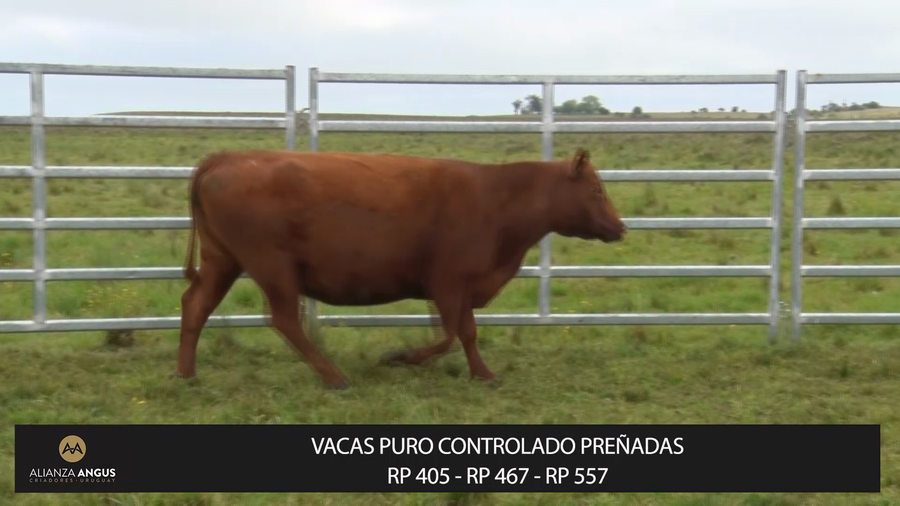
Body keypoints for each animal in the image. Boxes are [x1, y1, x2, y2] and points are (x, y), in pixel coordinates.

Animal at [176, 148, 626, 389]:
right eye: (596, 189)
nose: (620, 227)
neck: (496, 198)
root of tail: (226, 158)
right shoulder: (449, 282)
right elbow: (454, 334)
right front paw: (400, 357)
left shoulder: (457, 288)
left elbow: (465, 333)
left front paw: (482, 373)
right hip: (273, 267)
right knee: (285, 320)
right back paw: (335, 376)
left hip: (222, 260)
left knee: (196, 306)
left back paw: (187, 373)